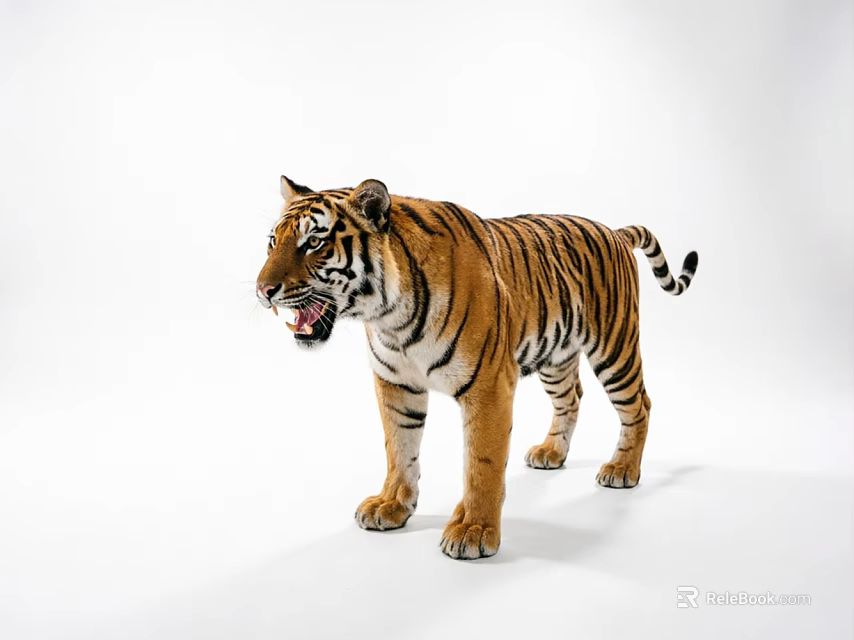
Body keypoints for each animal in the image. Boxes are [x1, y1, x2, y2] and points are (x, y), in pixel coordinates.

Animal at [256, 176, 698, 560]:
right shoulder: (396, 384)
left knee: (639, 406)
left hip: (615, 348)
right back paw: (551, 452)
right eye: (273, 242)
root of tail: (615, 231)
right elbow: (399, 448)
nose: (263, 291)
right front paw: (391, 505)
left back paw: (622, 468)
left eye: (314, 243)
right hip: (556, 357)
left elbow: (482, 463)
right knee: (571, 398)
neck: (388, 316)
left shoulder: (489, 386)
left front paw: (474, 531)